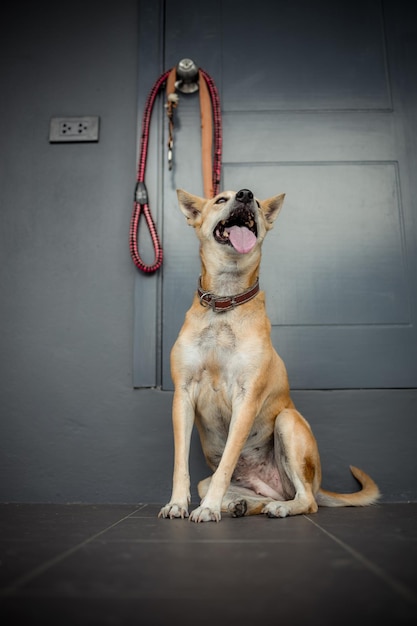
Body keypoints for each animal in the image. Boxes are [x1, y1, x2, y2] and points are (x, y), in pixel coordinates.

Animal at [158, 188, 378, 520]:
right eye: (221, 199)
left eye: (259, 204)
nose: (245, 194)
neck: (225, 302)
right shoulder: (182, 395)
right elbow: (179, 464)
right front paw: (177, 503)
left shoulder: (246, 398)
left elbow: (226, 463)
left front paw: (208, 509)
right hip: (224, 481)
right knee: (242, 495)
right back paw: (240, 504)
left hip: (288, 424)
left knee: (306, 500)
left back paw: (279, 507)